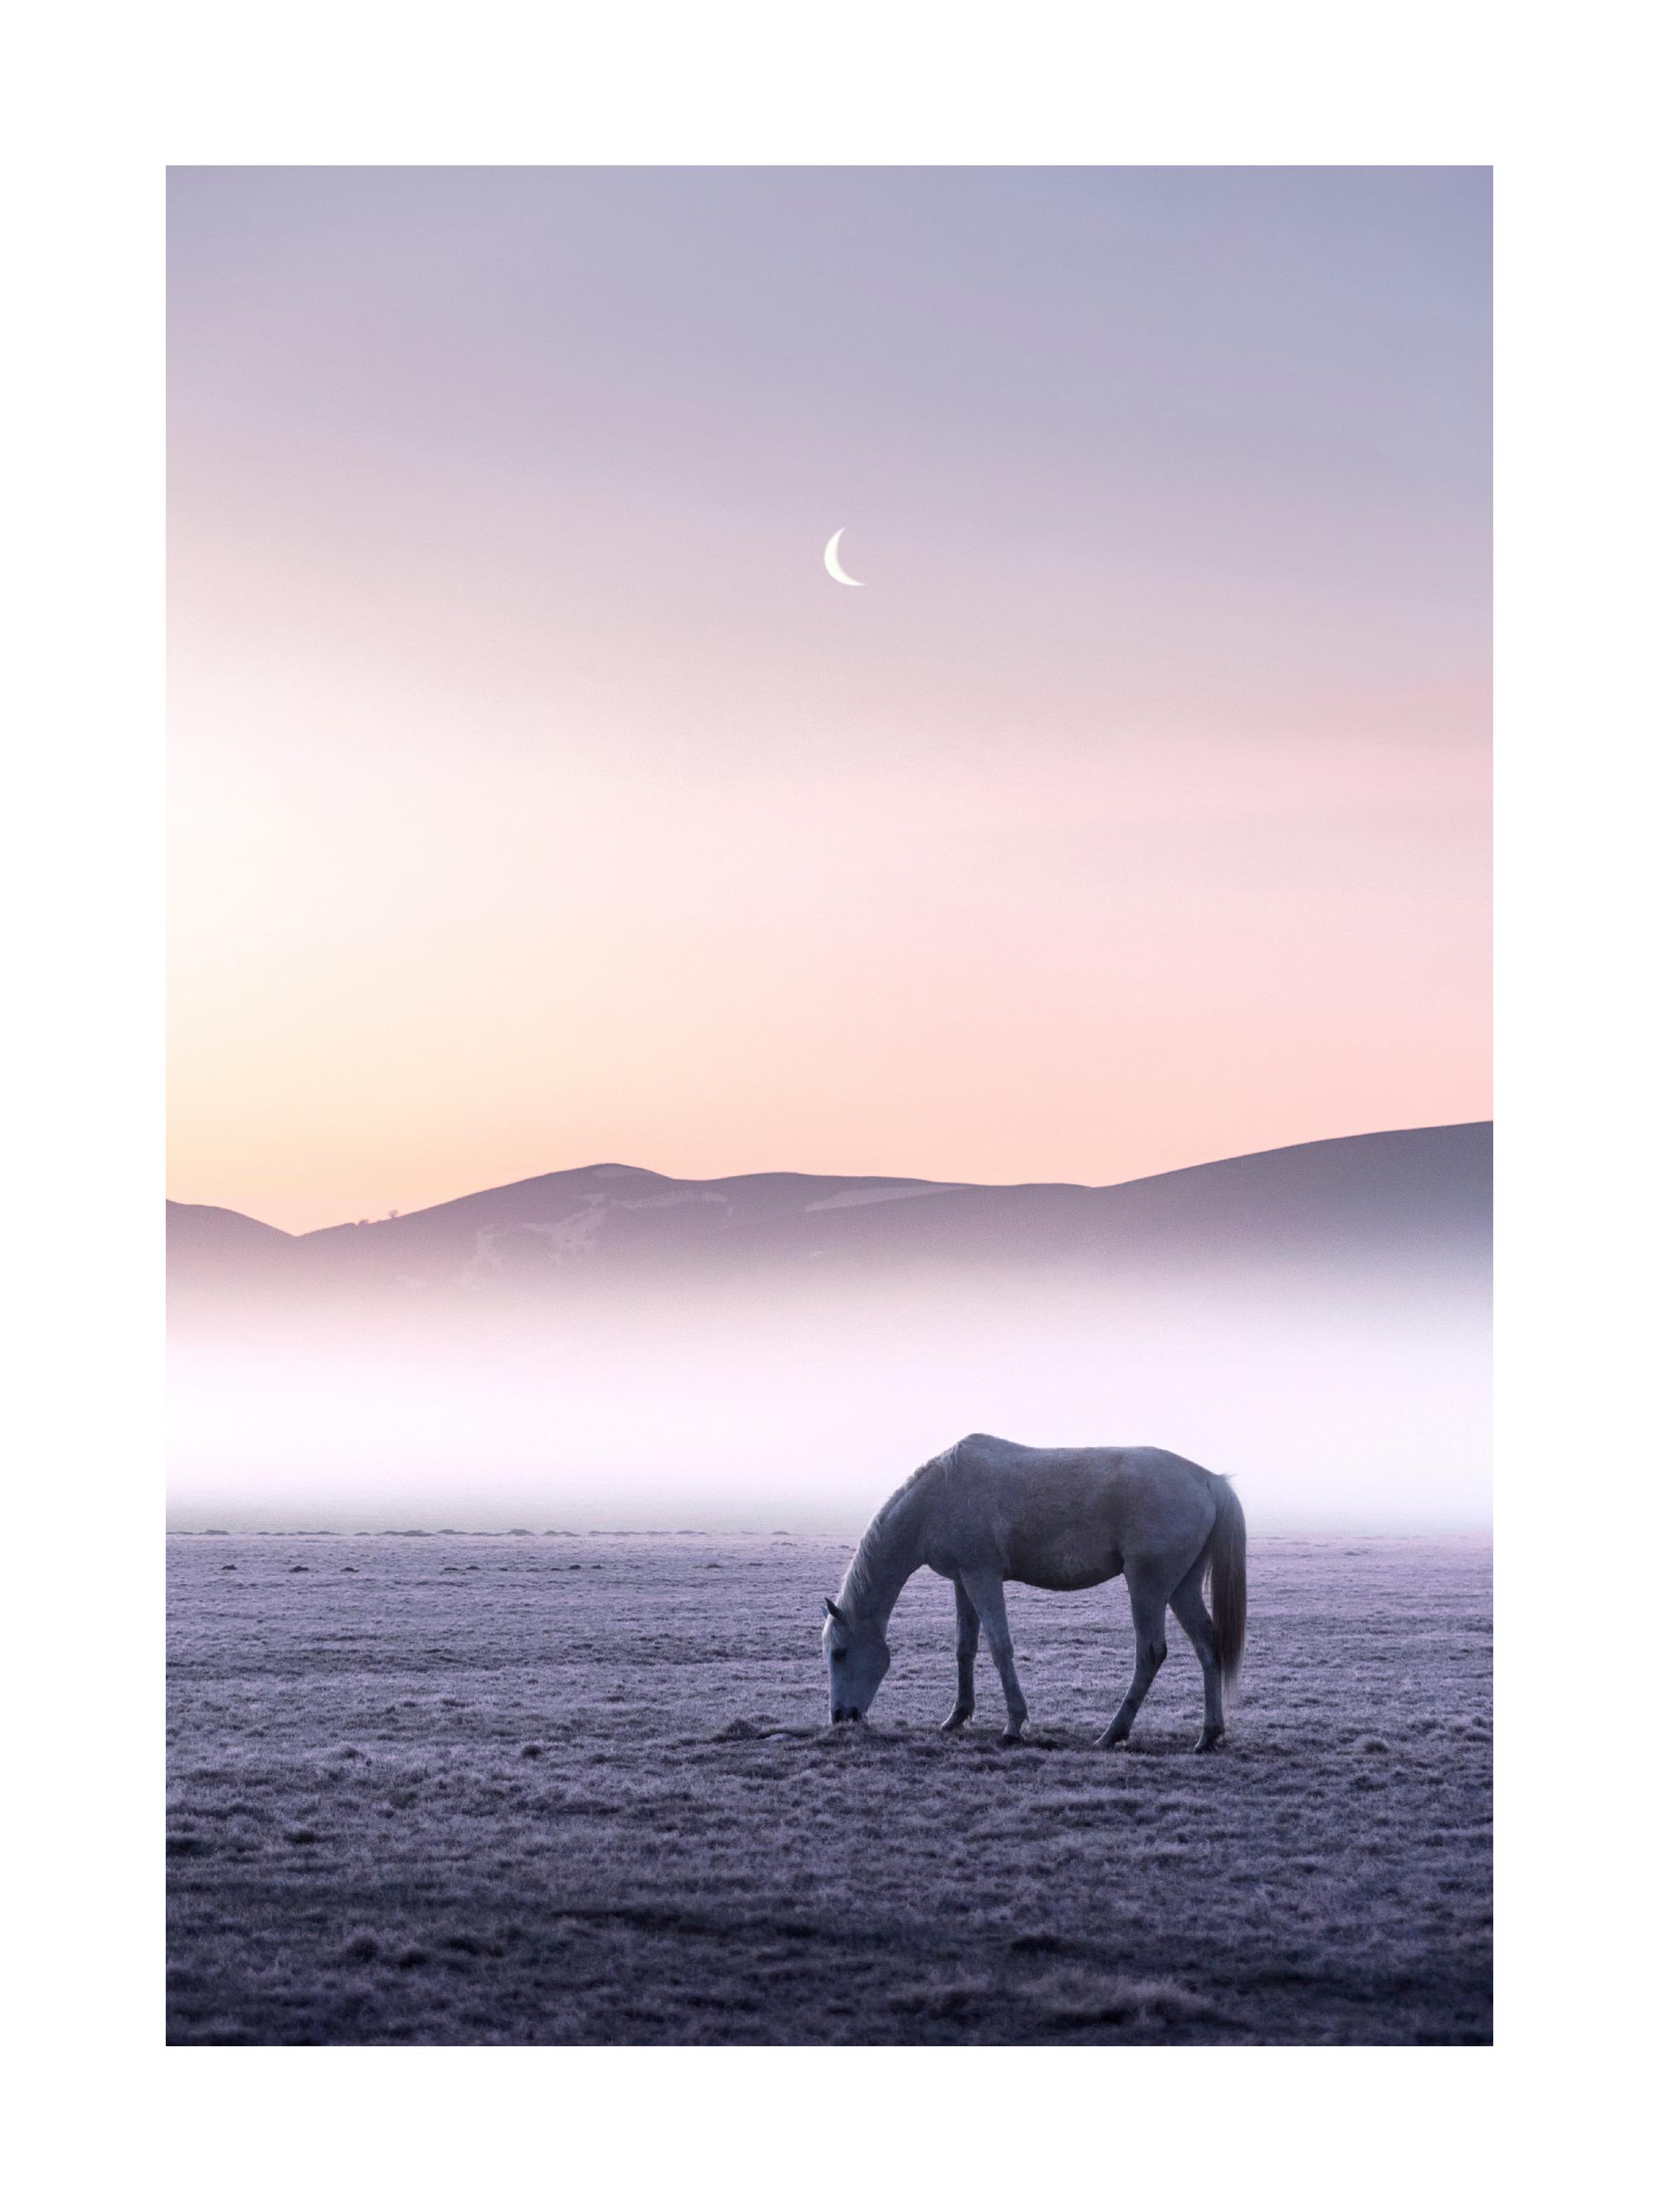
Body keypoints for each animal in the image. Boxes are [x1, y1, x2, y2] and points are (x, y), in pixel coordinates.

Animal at [820, 1433, 1246, 1751]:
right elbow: (965, 1648)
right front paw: (957, 1717)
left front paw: (1013, 1726)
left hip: (1148, 1586)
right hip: (1181, 1588)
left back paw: (1112, 1734)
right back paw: (1208, 1736)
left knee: (1151, 1653)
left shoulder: (983, 1577)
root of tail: (1207, 1479)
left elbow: (1000, 1648)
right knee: (1208, 1646)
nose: (840, 1717)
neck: (938, 1497)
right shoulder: (963, 1581)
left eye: (839, 1653)